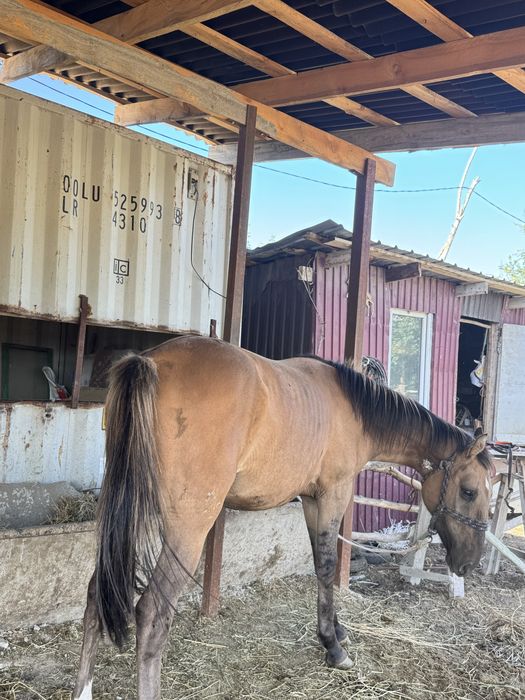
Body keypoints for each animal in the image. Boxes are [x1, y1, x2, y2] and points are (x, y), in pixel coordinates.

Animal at [73, 335, 493, 700]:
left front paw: (336, 630)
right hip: (186, 530)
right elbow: (328, 566)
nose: (469, 563)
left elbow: (319, 565)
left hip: (135, 516)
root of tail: (151, 362)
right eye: (469, 491)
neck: (353, 409)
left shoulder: (309, 500)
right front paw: (333, 646)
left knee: (94, 595)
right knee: (151, 614)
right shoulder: (333, 495)